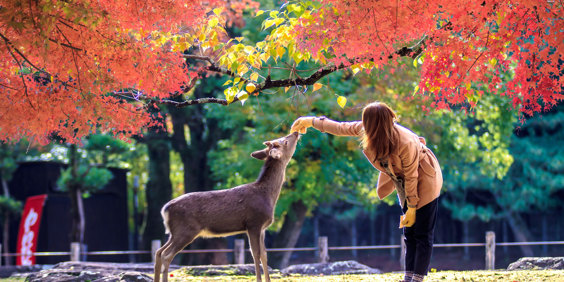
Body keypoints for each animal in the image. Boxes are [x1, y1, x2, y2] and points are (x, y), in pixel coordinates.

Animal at [152, 132, 302, 282]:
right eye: (285, 141)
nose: (295, 133)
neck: (268, 196)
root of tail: (165, 209)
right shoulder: (254, 223)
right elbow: (256, 254)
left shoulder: (263, 227)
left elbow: (264, 255)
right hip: (186, 230)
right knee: (166, 255)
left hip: (174, 232)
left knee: (159, 252)